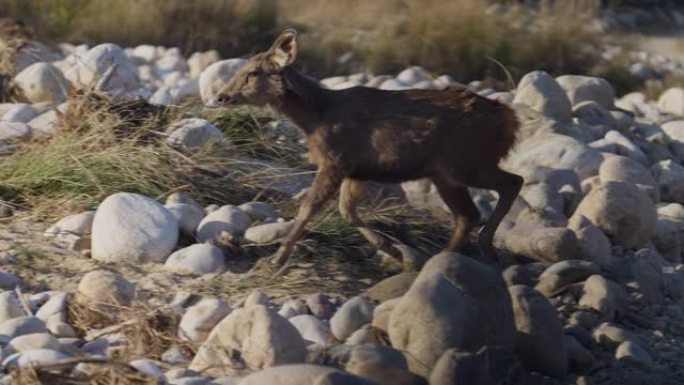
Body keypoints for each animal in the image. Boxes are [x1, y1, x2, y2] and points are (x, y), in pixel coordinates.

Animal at [212, 28, 524, 268]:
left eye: (253, 72)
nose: (220, 97)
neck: (316, 117)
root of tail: (510, 121)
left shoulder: (336, 159)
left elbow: (309, 207)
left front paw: (277, 260)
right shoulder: (356, 170)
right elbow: (346, 210)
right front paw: (391, 248)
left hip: (464, 162)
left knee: (513, 182)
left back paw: (484, 247)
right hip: (445, 173)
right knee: (468, 214)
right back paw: (442, 257)